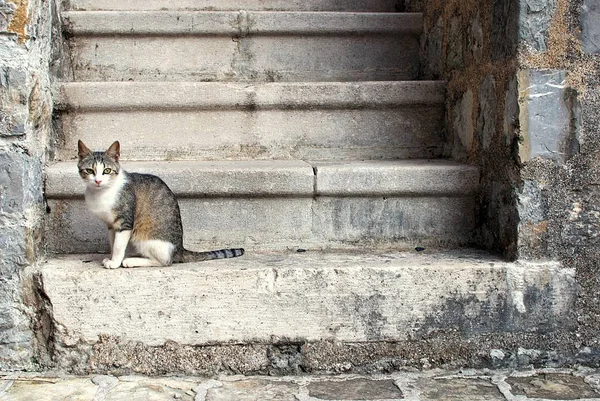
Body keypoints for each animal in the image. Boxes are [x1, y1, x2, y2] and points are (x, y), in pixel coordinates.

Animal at [77, 139, 244, 268]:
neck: (101, 193)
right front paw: (112, 257)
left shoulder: (125, 222)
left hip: (145, 238)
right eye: (90, 171)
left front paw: (115, 262)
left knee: (164, 261)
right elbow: (113, 243)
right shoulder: (112, 225)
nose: (98, 181)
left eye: (107, 170)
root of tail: (179, 248)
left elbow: (118, 245)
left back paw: (131, 261)